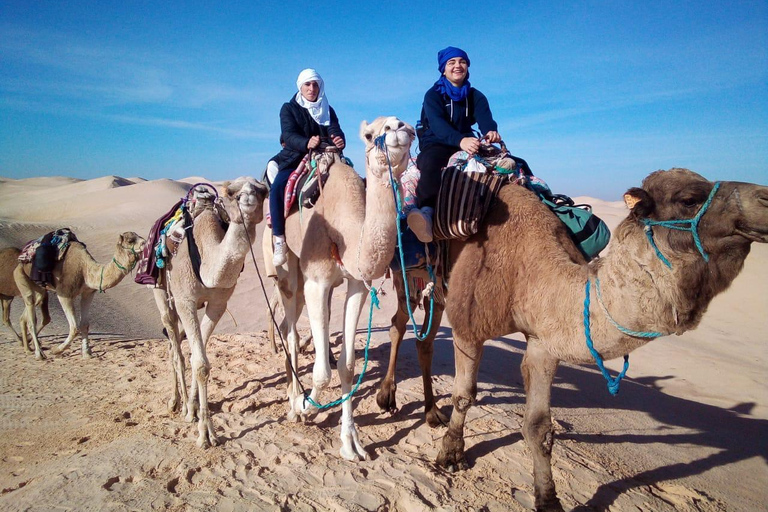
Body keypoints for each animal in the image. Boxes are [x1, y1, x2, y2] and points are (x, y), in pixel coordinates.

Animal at [13, 232, 146, 360]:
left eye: (140, 236)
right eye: (130, 240)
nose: (145, 243)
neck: (85, 269)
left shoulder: (88, 293)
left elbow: (84, 325)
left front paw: (87, 354)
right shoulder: (64, 294)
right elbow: (74, 328)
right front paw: (56, 350)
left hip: (39, 288)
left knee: (26, 314)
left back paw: (27, 347)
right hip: (20, 276)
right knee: (31, 316)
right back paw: (39, 354)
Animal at [150, 177, 268, 448]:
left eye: (263, 190)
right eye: (232, 192)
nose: (249, 199)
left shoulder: (218, 304)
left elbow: (199, 358)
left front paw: (196, 412)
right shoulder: (185, 300)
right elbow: (199, 363)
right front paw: (205, 433)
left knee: (175, 346)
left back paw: (182, 403)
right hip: (161, 291)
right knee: (174, 346)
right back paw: (176, 403)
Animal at [270, 116, 414, 460]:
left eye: (408, 127)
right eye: (370, 135)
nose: (398, 127)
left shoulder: (356, 285)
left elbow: (347, 366)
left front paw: (351, 443)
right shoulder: (316, 282)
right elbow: (322, 372)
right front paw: (305, 406)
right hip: (290, 268)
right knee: (290, 327)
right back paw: (292, 399)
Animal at [426, 170, 768, 510]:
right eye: (689, 199)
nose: (766, 198)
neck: (530, 273)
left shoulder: (543, 342)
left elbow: (539, 427)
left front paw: (548, 500)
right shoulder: (468, 323)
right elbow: (464, 395)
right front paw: (451, 455)